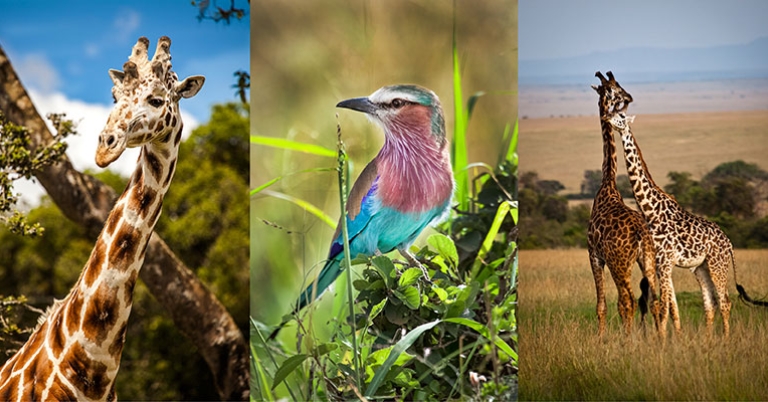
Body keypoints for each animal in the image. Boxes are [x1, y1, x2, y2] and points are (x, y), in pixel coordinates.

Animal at [587, 71, 659, 337]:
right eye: (611, 89)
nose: (628, 96)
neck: (607, 183)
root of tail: (640, 233)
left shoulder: (594, 255)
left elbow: (601, 305)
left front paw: (600, 338)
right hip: (647, 259)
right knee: (654, 299)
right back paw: (657, 337)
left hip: (620, 264)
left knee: (627, 299)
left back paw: (628, 338)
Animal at [602, 71, 753, 338]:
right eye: (611, 111)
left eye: (620, 116)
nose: (606, 118)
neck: (649, 210)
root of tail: (729, 243)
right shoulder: (661, 263)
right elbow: (670, 305)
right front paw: (673, 338)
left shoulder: (664, 261)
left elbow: (663, 306)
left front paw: (663, 340)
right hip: (700, 267)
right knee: (710, 303)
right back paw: (708, 340)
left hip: (717, 264)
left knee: (725, 301)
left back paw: (724, 339)